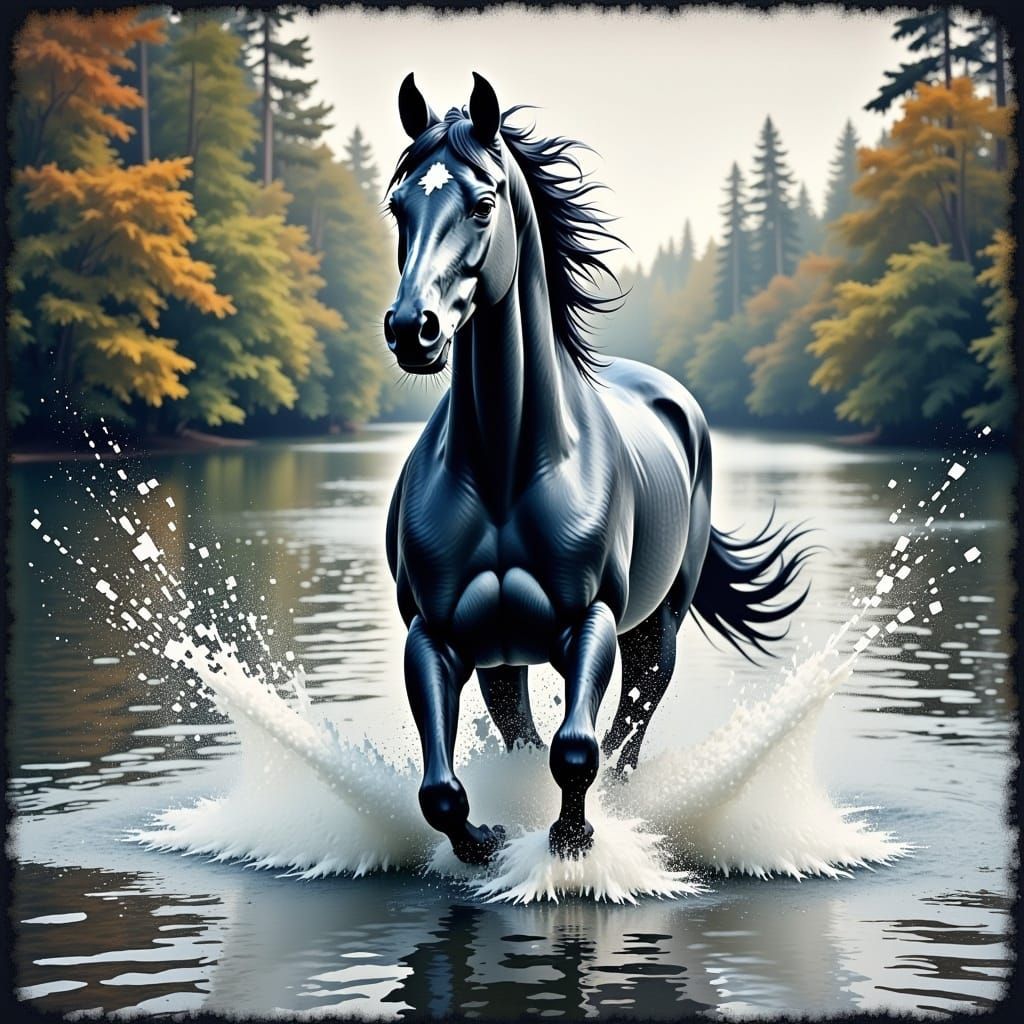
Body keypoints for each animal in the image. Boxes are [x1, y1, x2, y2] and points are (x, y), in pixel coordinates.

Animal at [383, 73, 811, 865]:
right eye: (399, 206)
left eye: (482, 203)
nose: (411, 330)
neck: (505, 474)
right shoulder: (436, 635)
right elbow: (442, 791)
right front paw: (487, 841)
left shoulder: (593, 623)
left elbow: (578, 750)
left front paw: (572, 838)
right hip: (505, 657)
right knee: (523, 729)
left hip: (657, 626)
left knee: (631, 726)